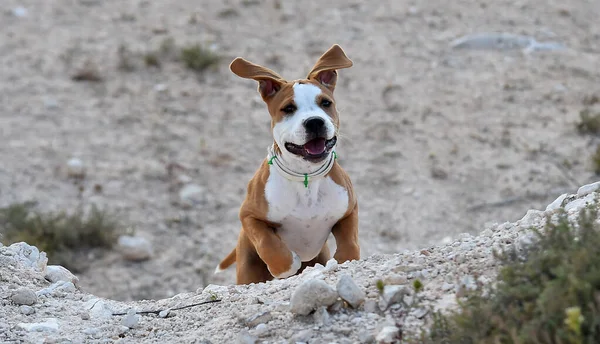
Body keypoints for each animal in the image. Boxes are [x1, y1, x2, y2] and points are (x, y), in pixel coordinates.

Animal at [214, 43, 358, 284]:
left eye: (325, 103)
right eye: (288, 108)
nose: (315, 122)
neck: (306, 178)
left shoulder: (349, 209)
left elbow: (350, 240)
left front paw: (347, 259)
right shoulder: (248, 215)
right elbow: (267, 241)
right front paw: (284, 266)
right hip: (248, 265)